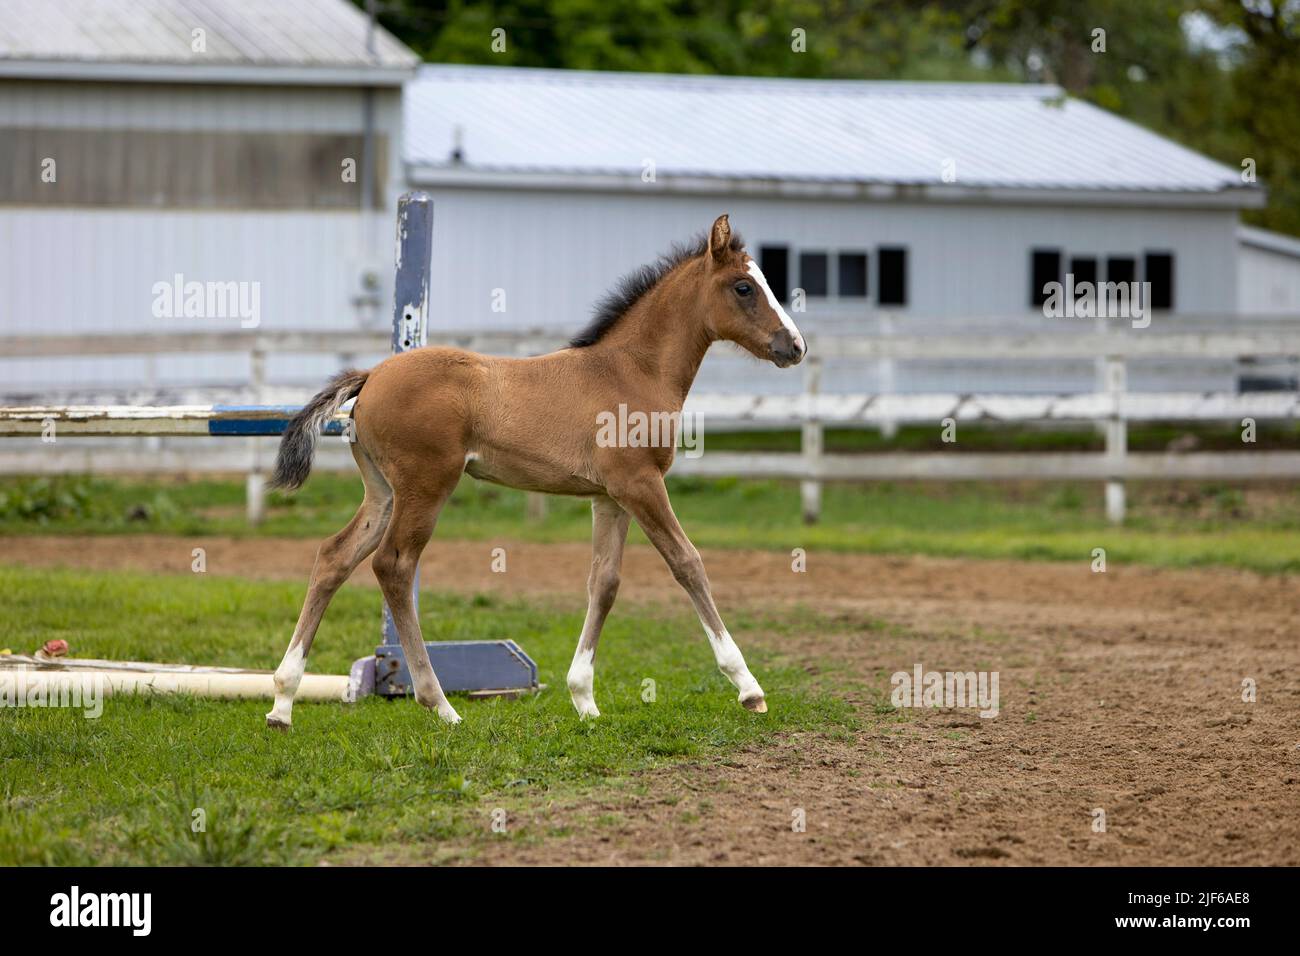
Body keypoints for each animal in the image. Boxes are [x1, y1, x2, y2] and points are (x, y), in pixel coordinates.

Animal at [266, 214, 800, 723]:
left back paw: (282, 702)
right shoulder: (641, 484)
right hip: (426, 485)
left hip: (383, 491)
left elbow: (604, 582)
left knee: (335, 556)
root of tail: (372, 375)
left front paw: (584, 699)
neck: (632, 370)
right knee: (393, 565)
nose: (794, 346)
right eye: (744, 287)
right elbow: (687, 562)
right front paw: (749, 688)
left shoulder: (609, 497)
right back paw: (441, 705)